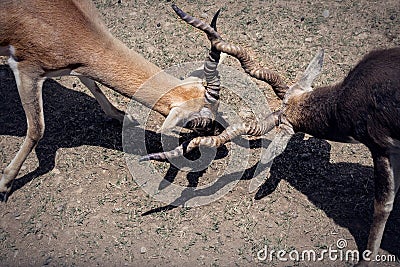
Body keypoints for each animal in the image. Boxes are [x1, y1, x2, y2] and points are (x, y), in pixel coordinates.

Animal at [0, 0, 222, 201]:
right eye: (200, 119)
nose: (216, 132)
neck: (65, 26)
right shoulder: (27, 71)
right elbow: (37, 129)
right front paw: (5, 185)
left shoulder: (78, 66)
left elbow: (92, 83)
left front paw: (122, 116)